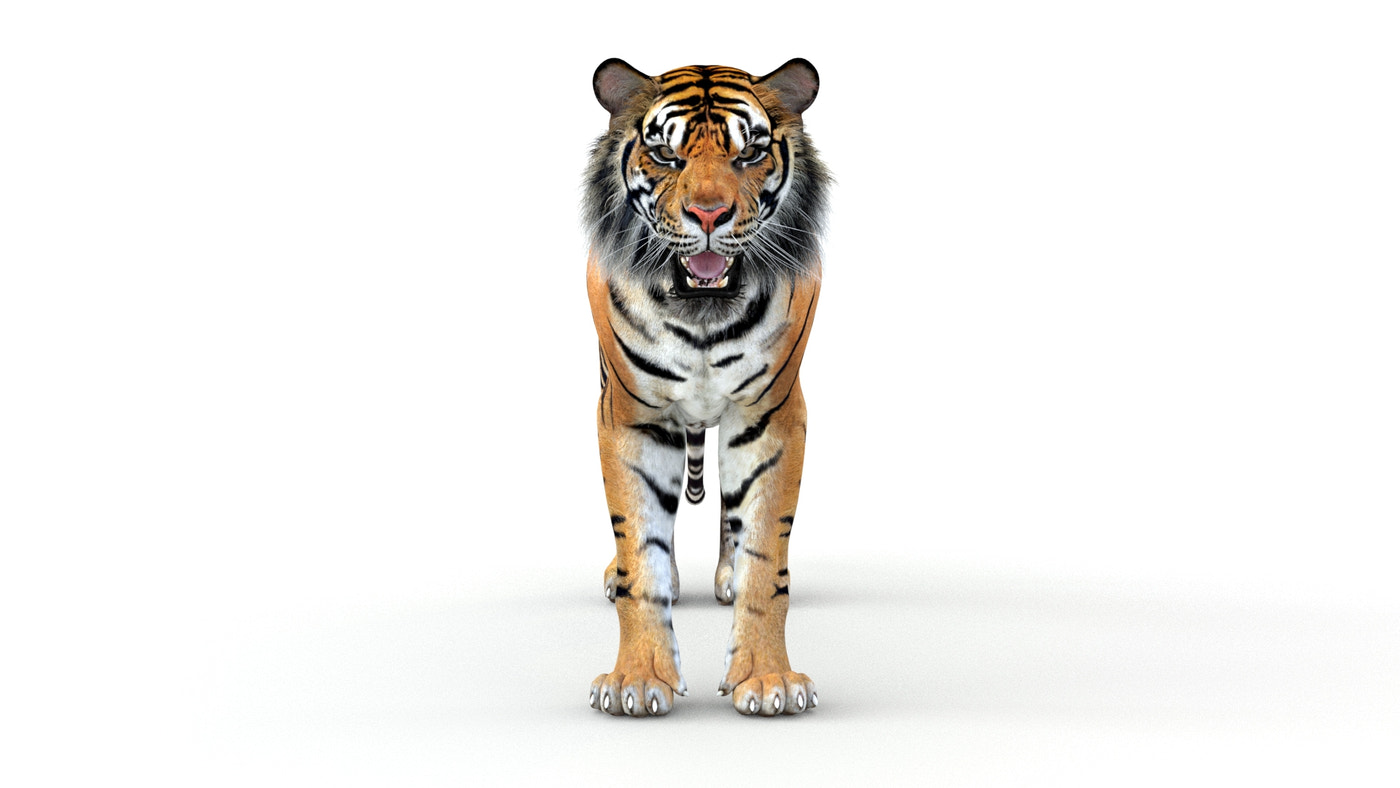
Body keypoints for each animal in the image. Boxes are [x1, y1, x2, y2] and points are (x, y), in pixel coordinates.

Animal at [583, 58, 830, 717]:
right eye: (666, 156)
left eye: (750, 155)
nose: (711, 216)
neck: (701, 312)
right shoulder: (631, 416)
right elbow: (641, 552)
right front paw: (638, 679)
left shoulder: (772, 413)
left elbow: (765, 559)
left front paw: (767, 680)